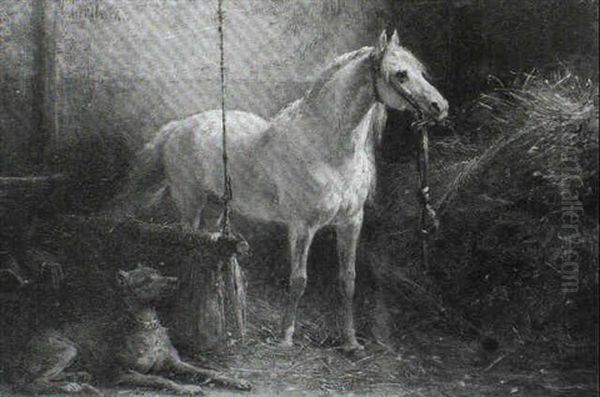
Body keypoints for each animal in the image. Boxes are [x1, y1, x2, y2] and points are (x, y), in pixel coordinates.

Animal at [12, 264, 251, 394]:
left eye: (159, 272)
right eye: (146, 279)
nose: (175, 280)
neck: (148, 325)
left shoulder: (177, 363)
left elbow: (207, 371)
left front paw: (236, 380)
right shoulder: (122, 372)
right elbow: (160, 379)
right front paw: (187, 388)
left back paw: (78, 376)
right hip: (68, 349)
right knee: (33, 383)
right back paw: (69, 386)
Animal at [119, 31, 448, 352]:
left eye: (420, 71)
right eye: (401, 74)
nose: (440, 108)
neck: (325, 147)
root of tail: (178, 127)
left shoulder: (351, 222)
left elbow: (348, 280)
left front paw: (351, 341)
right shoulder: (302, 226)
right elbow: (299, 280)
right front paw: (286, 337)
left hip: (215, 207)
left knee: (210, 246)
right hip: (191, 204)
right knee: (187, 246)